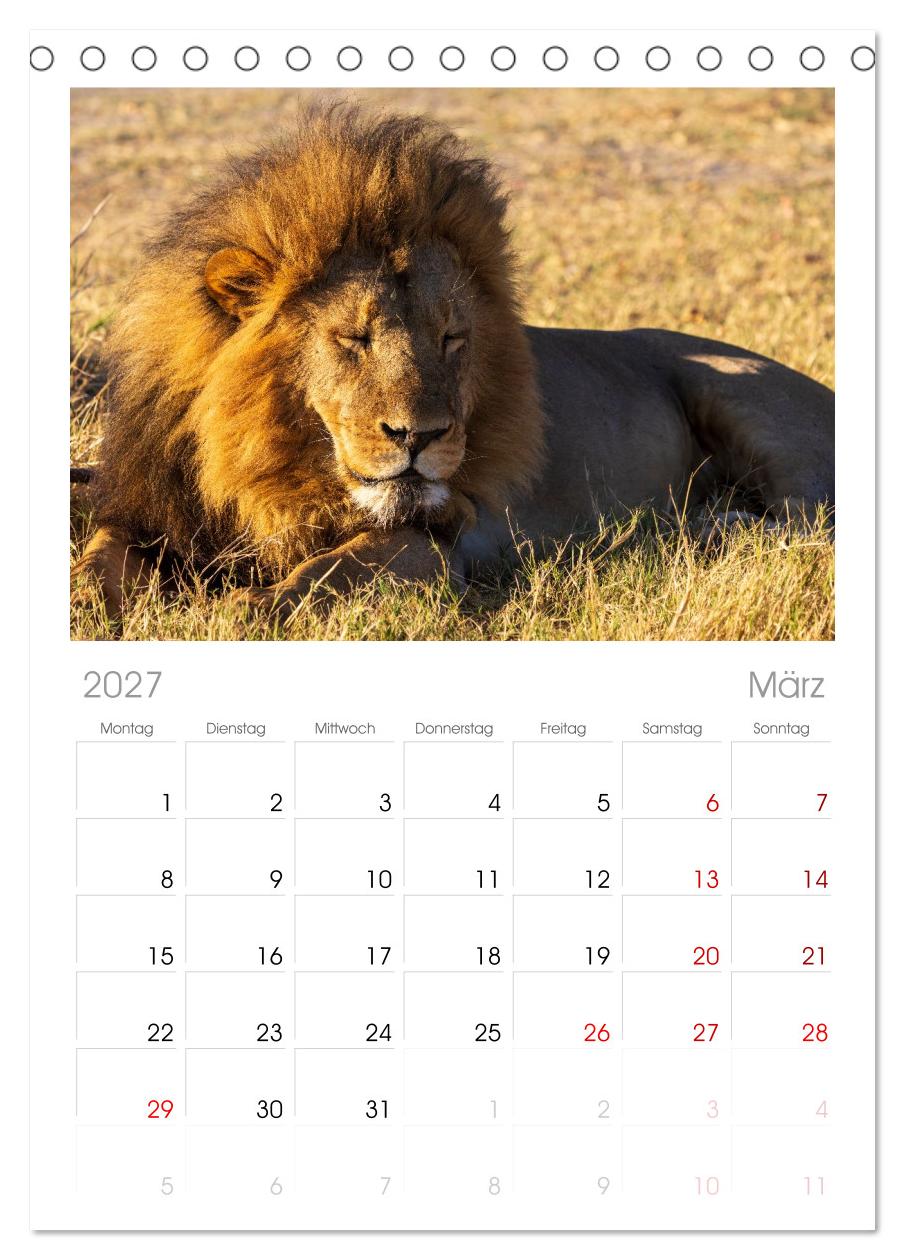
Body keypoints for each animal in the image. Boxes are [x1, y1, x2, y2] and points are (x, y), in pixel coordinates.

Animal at [73, 104, 834, 616]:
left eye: (451, 338)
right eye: (354, 337)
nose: (421, 437)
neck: (266, 461)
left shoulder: (434, 544)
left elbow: (327, 572)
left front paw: (246, 609)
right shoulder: (155, 511)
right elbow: (98, 557)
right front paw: (90, 605)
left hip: (740, 395)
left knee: (809, 521)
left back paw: (704, 530)